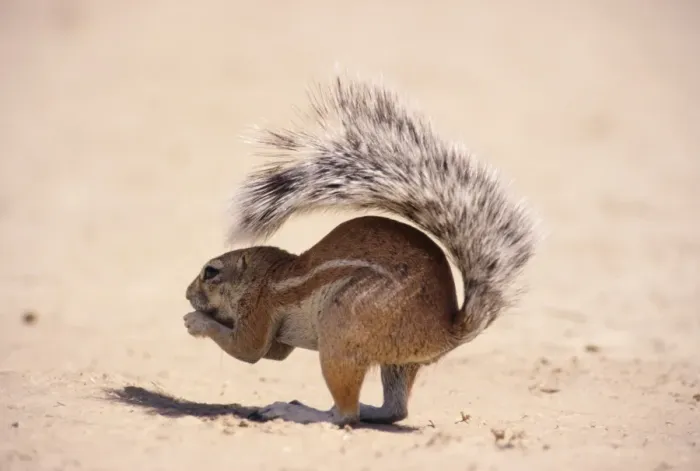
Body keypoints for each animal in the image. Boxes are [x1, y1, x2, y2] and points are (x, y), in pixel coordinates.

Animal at [183, 73, 539, 427]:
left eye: (211, 272)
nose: (187, 295)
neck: (267, 276)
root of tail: (446, 331)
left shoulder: (261, 309)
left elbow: (248, 351)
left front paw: (196, 321)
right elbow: (272, 353)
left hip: (340, 333)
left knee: (344, 414)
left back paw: (297, 410)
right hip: (396, 362)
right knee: (394, 410)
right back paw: (368, 409)